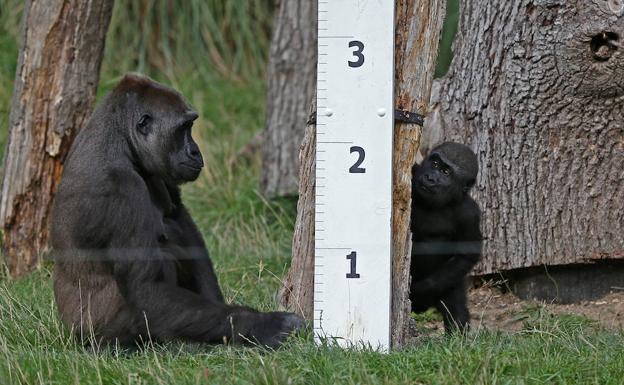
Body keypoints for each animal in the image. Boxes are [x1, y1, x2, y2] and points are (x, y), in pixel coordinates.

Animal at [51, 73, 304, 346]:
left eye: (190, 126)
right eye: (183, 128)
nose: (195, 151)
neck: (119, 140)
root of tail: (72, 332)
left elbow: (181, 220)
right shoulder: (120, 189)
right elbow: (147, 289)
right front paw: (265, 324)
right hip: (100, 336)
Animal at [410, 142, 482, 332]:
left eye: (446, 172)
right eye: (435, 163)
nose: (430, 178)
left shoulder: (469, 214)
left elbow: (466, 255)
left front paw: (419, 291)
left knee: (457, 312)